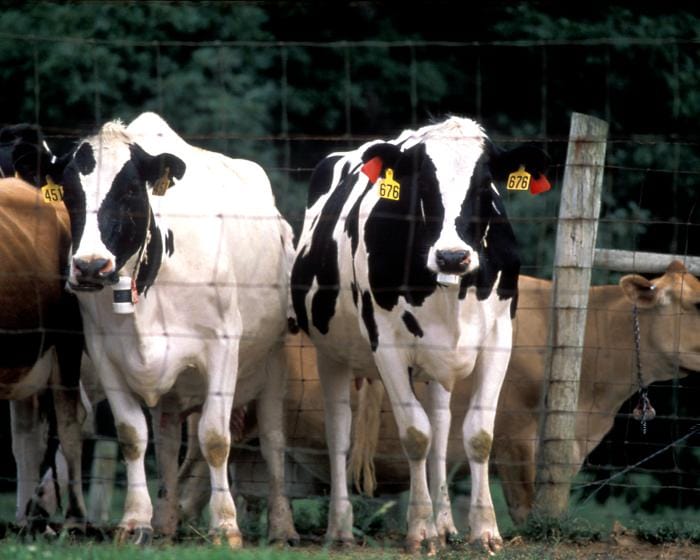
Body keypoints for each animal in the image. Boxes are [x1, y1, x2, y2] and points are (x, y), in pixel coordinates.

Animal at [46, 112, 298, 546]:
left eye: (131, 192)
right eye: (68, 193)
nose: (90, 266)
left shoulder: (222, 348)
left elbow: (215, 438)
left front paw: (225, 526)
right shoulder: (105, 354)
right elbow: (133, 436)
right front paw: (135, 521)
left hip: (273, 363)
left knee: (272, 441)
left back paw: (282, 526)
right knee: (165, 442)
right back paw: (164, 521)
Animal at [289, 116, 550, 553]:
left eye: (486, 184)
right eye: (422, 184)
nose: (452, 256)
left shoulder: (499, 338)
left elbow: (477, 435)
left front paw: (484, 531)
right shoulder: (387, 346)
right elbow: (415, 435)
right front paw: (420, 532)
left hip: (435, 365)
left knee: (442, 430)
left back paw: (445, 525)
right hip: (331, 353)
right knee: (339, 430)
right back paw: (341, 528)